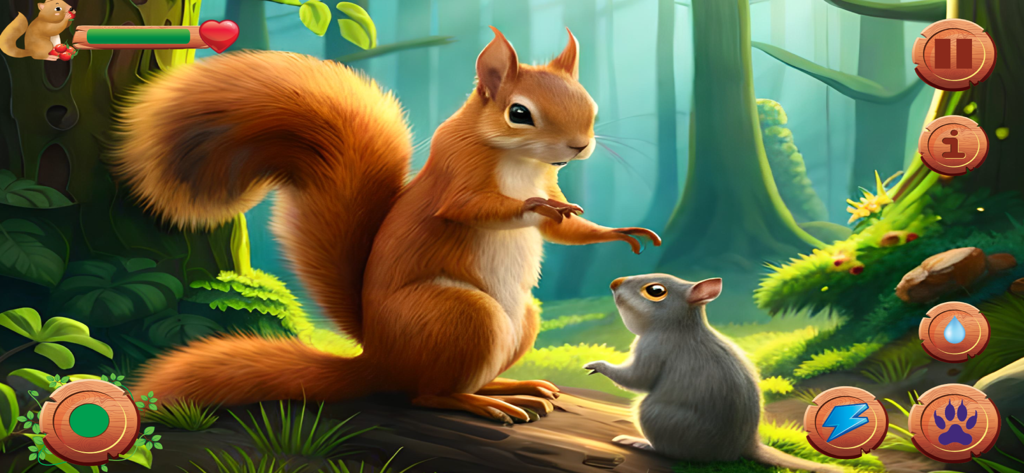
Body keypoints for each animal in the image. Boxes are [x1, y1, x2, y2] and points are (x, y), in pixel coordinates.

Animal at [115, 27, 662, 424]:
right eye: (519, 113)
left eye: (589, 103)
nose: (579, 146)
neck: (521, 161)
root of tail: (378, 359)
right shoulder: (456, 176)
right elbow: (474, 209)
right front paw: (533, 207)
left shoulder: (551, 179)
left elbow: (564, 231)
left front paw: (619, 234)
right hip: (462, 317)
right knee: (427, 395)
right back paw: (485, 404)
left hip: (522, 317)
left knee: (453, 382)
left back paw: (515, 387)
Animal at [584, 274, 842, 472]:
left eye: (656, 291)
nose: (614, 282)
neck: (680, 326)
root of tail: (745, 446)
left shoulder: (653, 348)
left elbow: (636, 379)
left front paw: (596, 364)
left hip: (652, 414)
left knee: (671, 452)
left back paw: (637, 442)